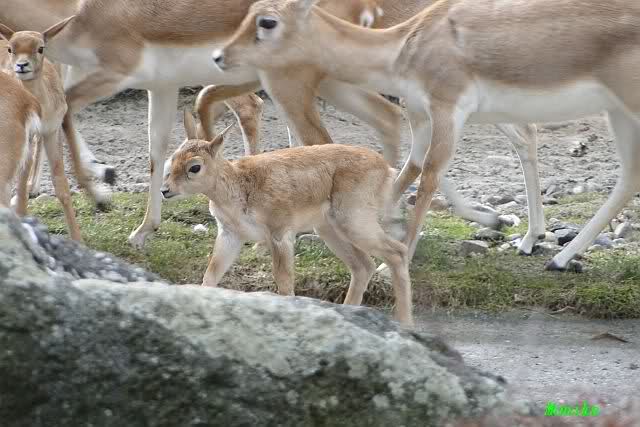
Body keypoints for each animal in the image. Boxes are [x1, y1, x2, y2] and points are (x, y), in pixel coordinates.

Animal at [0, 19, 82, 241]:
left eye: (40, 48)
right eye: (11, 48)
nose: (21, 66)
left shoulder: (52, 131)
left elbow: (61, 184)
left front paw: (78, 239)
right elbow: (20, 184)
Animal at [162, 111, 413, 326]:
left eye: (194, 167)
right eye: (172, 159)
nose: (165, 190)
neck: (239, 185)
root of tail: (386, 169)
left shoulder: (279, 234)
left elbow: (283, 282)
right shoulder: (230, 235)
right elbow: (211, 275)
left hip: (354, 225)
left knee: (397, 252)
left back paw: (404, 322)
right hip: (330, 230)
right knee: (364, 266)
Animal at [216, 0, 640, 272]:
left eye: (267, 22)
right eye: (248, 14)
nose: (219, 56)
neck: (408, 45)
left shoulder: (448, 111)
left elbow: (429, 176)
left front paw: (392, 262)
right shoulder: (422, 115)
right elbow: (409, 170)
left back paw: (552, 253)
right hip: (617, 112)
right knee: (627, 177)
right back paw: (555, 255)